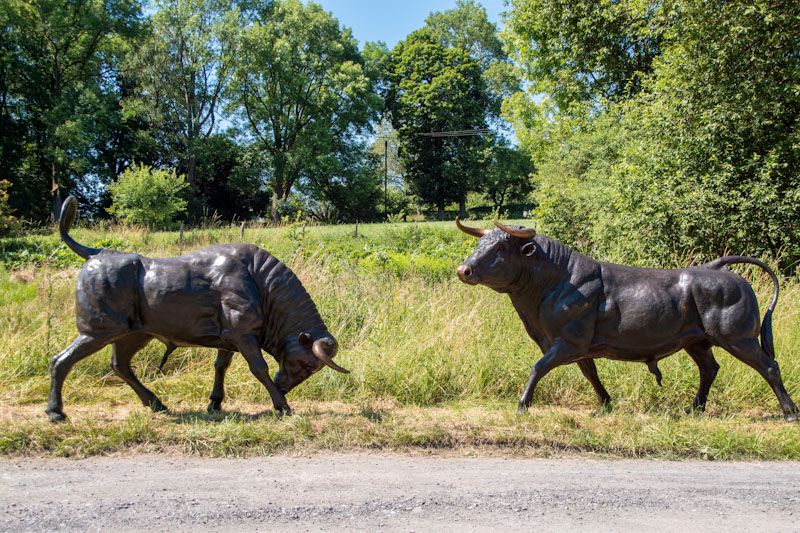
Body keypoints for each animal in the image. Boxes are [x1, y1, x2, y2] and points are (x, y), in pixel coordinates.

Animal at [47, 197, 346, 422]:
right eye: (308, 364)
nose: (283, 386)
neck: (259, 281)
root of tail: (97, 253)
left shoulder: (230, 338)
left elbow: (220, 366)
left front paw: (215, 403)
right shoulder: (244, 334)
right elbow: (258, 367)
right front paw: (282, 404)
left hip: (133, 334)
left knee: (119, 365)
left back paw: (156, 403)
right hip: (99, 330)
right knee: (61, 360)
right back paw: (56, 413)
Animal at [456, 216, 800, 420]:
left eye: (501, 248)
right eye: (480, 243)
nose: (464, 270)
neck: (554, 282)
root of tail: (720, 270)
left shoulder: (568, 342)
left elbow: (538, 368)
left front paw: (522, 404)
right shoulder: (575, 346)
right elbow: (591, 374)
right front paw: (605, 404)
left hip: (739, 337)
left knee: (769, 366)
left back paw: (790, 413)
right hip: (697, 341)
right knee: (710, 369)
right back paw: (694, 409)